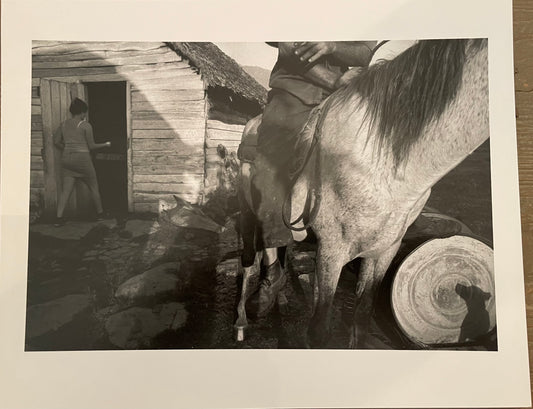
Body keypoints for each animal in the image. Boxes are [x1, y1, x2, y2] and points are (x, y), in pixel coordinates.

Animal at [235, 38, 488, 346]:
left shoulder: (384, 249)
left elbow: (362, 318)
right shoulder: (333, 248)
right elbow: (319, 330)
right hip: (247, 211)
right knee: (250, 257)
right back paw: (246, 315)